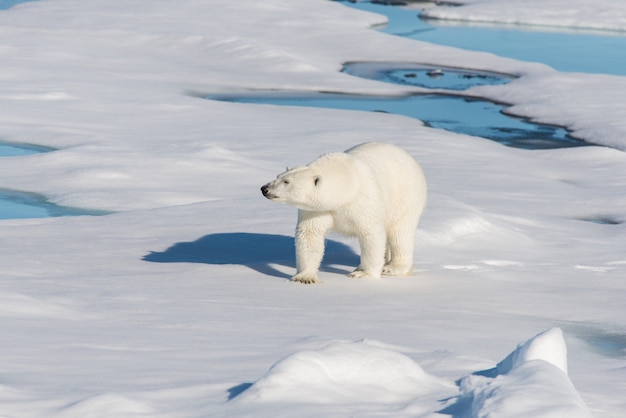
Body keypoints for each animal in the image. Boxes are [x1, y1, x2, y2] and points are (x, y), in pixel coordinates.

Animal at [258, 143, 424, 284]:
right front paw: (305, 277)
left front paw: (363, 274)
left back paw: (392, 267)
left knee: (400, 232)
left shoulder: (364, 201)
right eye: (278, 176)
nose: (264, 188)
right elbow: (310, 234)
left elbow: (371, 234)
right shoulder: (317, 209)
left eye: (286, 182)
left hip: (406, 196)